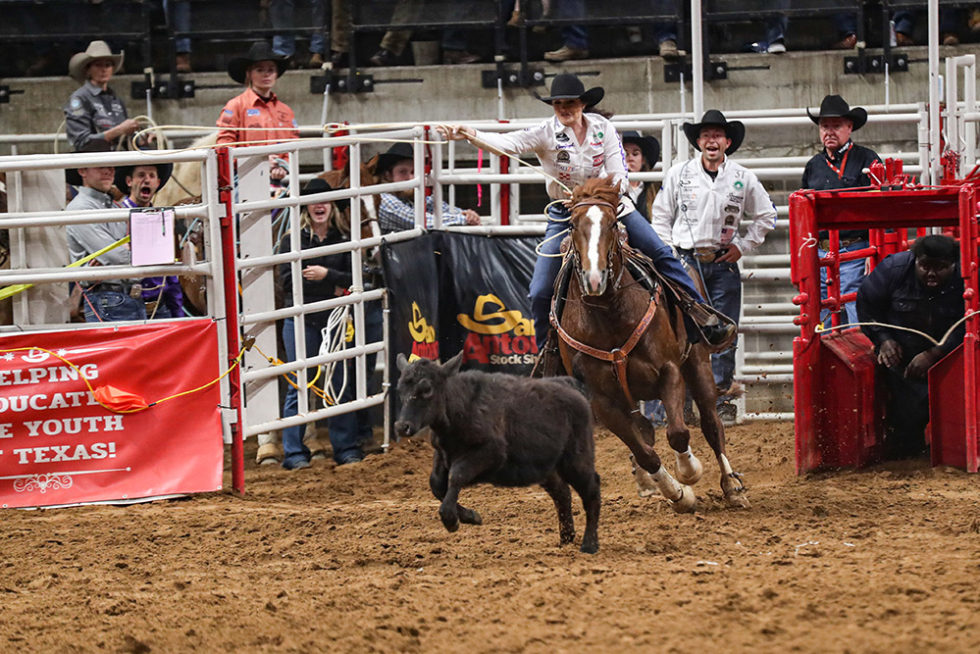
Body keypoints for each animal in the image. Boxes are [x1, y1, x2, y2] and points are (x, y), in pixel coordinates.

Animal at [394, 354, 600, 552]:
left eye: (426, 389)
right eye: (400, 389)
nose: (402, 426)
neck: (461, 407)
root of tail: (574, 386)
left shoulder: (490, 453)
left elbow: (456, 476)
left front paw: (451, 520)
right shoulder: (442, 454)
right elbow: (437, 484)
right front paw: (471, 516)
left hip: (577, 460)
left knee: (591, 490)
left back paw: (589, 544)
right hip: (547, 468)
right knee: (562, 493)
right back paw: (566, 537)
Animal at [556, 177, 748, 516]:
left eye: (612, 223)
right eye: (573, 224)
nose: (594, 280)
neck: (608, 315)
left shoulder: (670, 371)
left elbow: (679, 433)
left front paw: (689, 473)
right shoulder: (601, 401)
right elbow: (645, 452)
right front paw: (677, 493)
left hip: (697, 363)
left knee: (711, 424)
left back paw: (732, 486)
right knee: (645, 433)